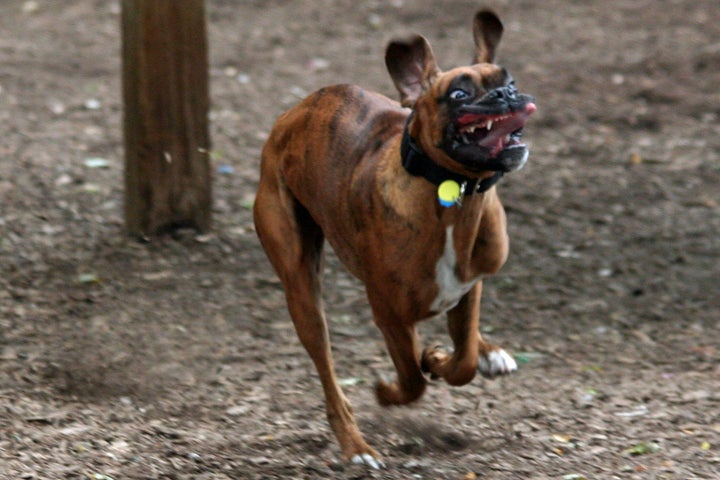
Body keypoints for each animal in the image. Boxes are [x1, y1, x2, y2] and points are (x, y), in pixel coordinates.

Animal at [253, 9, 536, 466]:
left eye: (508, 82)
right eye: (459, 94)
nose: (506, 95)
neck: (456, 193)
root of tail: (296, 111)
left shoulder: (469, 286)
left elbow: (463, 361)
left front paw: (442, 357)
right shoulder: (389, 315)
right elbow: (412, 378)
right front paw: (391, 389)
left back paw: (486, 352)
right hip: (302, 290)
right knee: (329, 376)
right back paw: (356, 447)